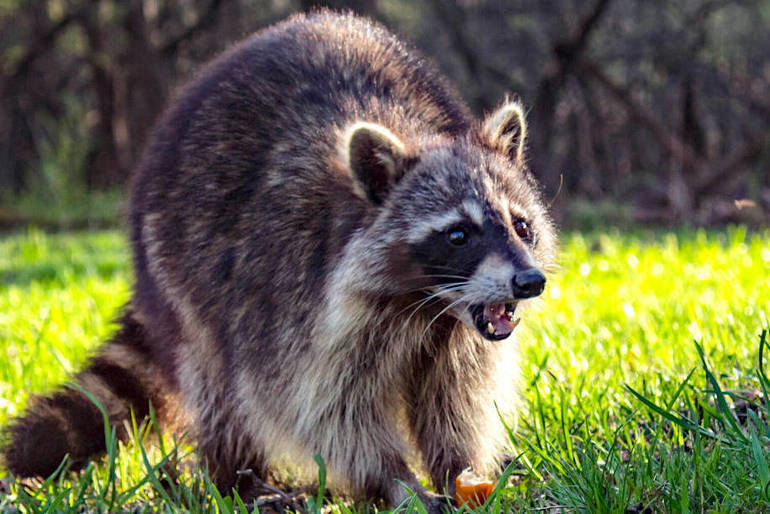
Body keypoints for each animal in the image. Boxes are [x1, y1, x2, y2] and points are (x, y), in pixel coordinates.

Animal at [3, 10, 556, 511]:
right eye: (458, 234)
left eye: (521, 226)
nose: (528, 281)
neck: (427, 305)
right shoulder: (294, 300)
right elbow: (326, 409)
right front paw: (394, 481)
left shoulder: (456, 338)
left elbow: (456, 399)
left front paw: (460, 467)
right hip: (174, 258)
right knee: (219, 383)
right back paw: (236, 478)